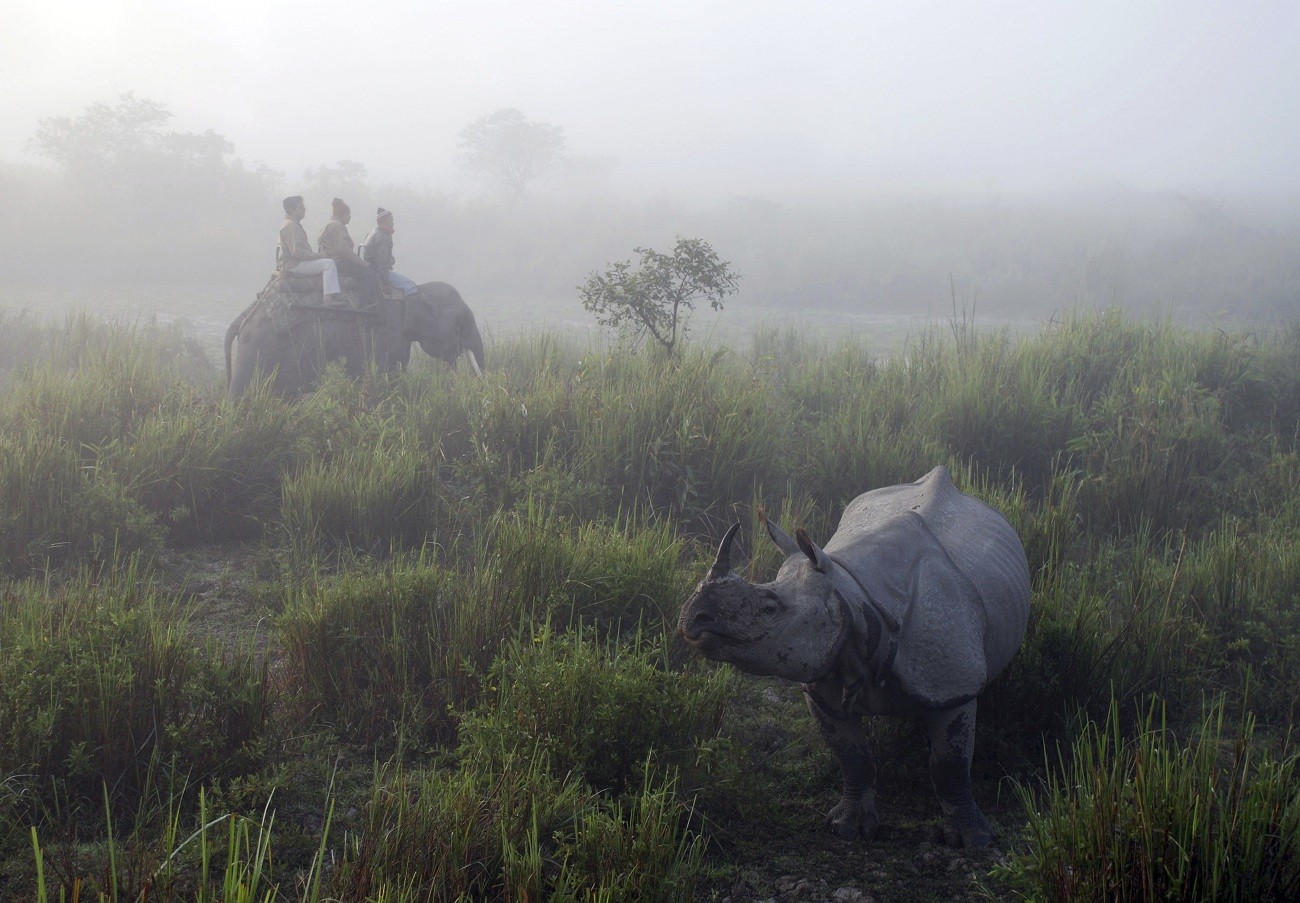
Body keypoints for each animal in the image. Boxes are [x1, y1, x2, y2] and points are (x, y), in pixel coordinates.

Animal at [223, 280, 488, 397]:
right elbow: (387, 376)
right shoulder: (385, 332)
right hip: (256, 351)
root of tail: (242, 318)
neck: (413, 290)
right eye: (462, 321)